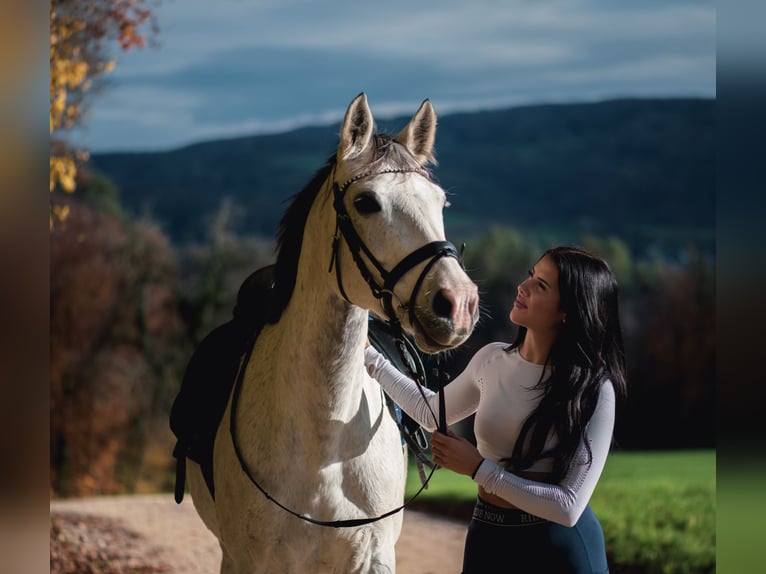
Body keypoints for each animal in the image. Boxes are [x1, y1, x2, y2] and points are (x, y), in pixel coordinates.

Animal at [188, 94, 480, 574]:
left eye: (441, 203)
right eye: (366, 202)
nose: (457, 303)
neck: (324, 440)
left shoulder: (373, 558)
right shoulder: (249, 560)